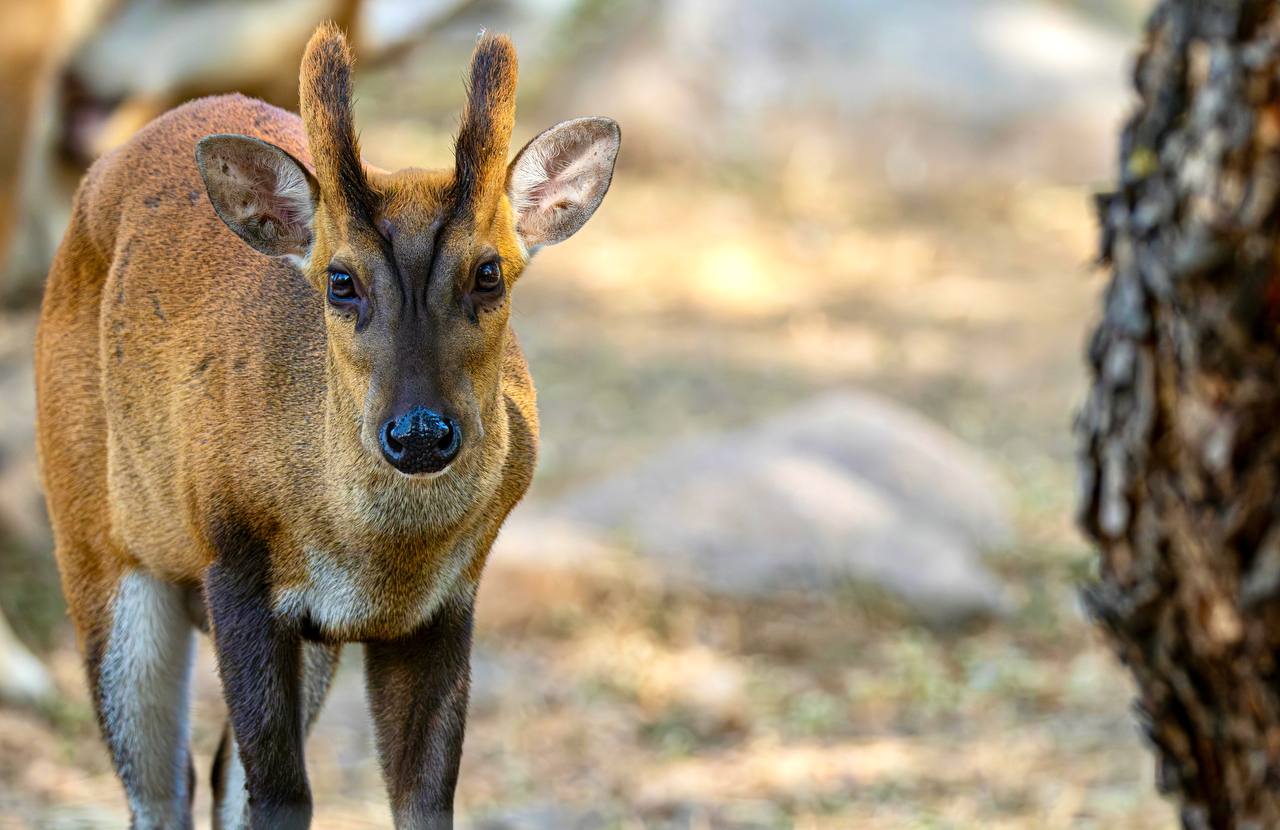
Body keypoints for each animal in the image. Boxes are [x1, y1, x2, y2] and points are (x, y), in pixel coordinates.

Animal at [34, 22, 619, 829]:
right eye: (341, 281)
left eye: (489, 273)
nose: (419, 433)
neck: (380, 559)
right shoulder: (234, 561)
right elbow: (282, 797)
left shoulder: (448, 599)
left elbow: (423, 801)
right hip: (96, 541)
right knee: (159, 785)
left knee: (216, 776)